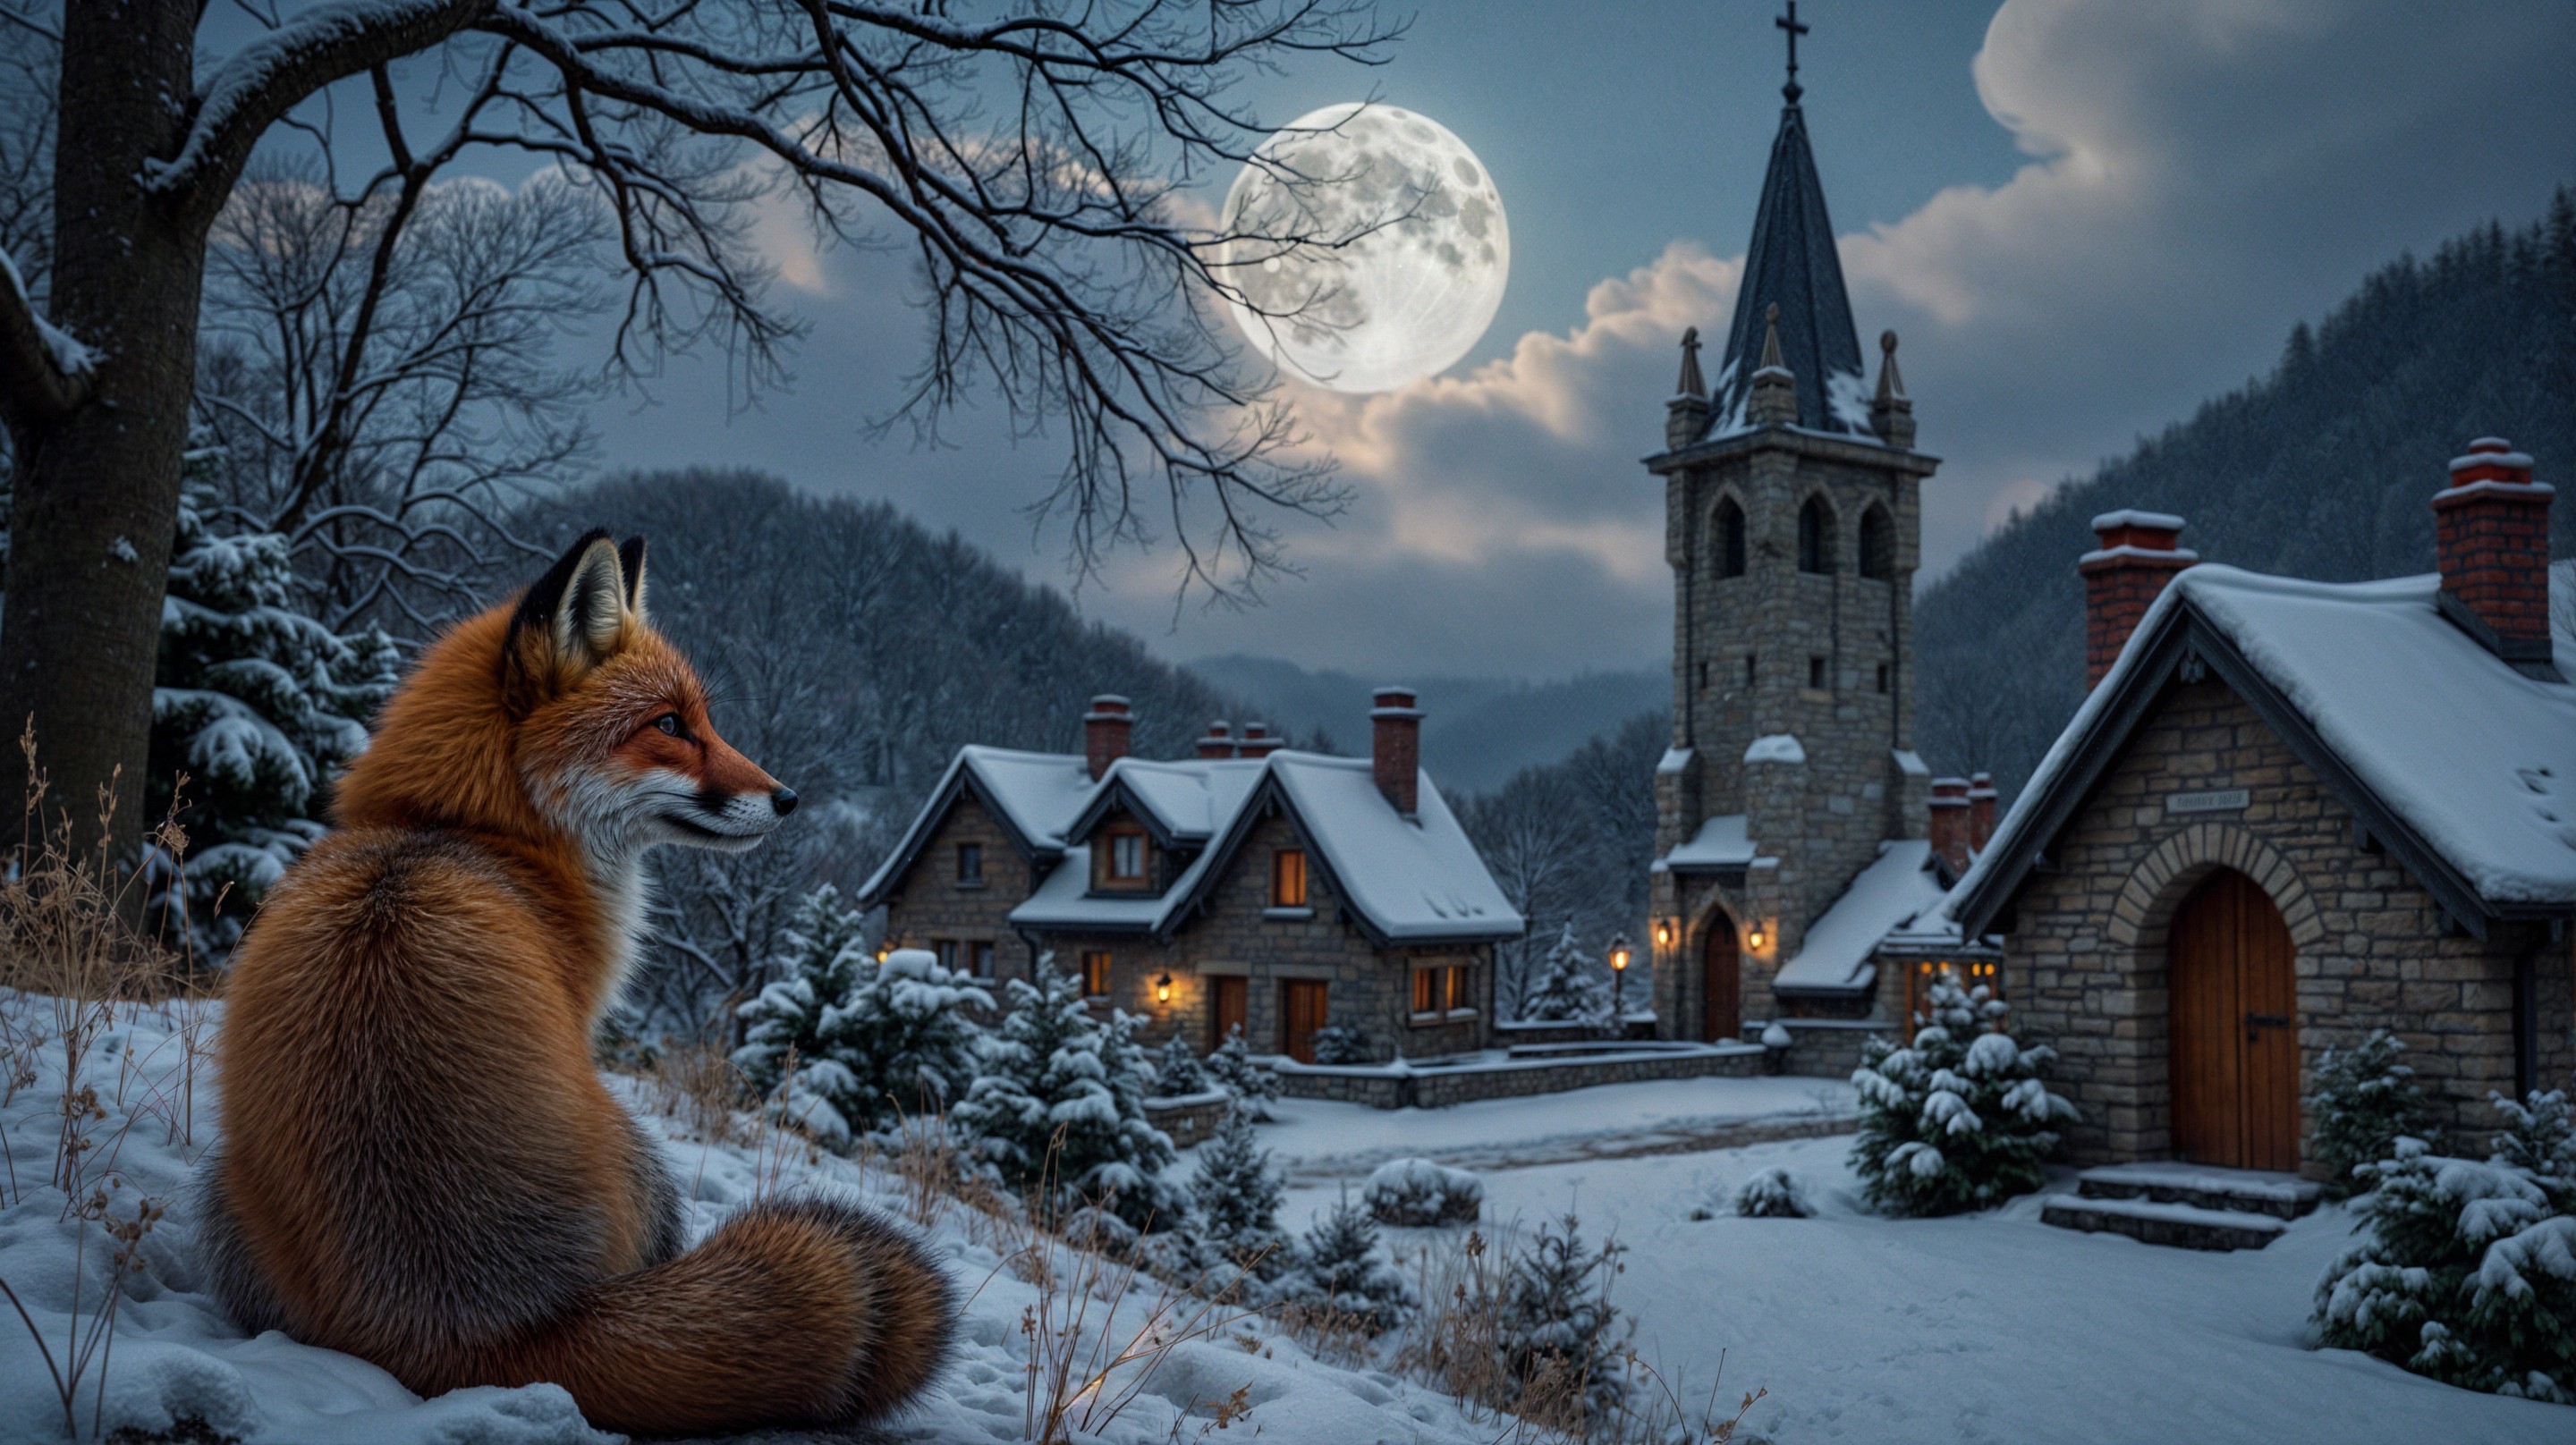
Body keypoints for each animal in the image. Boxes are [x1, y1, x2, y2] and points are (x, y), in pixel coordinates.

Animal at [196, 531, 954, 1436]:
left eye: (702, 720)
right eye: (671, 726)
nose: (789, 798)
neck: (458, 829)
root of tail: (478, 1327)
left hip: (222, 1190)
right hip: (644, 1155)